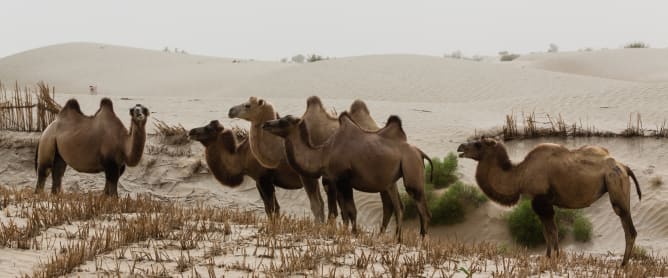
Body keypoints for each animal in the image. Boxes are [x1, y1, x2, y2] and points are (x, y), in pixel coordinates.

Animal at [188, 120, 324, 218]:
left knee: (317, 204)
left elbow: (273, 208)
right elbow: (269, 208)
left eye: (209, 128)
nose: (191, 131)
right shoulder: (258, 180)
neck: (242, 157)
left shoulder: (263, 178)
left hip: (306, 175)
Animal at [260, 112, 434, 240]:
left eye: (284, 121)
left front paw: (354, 234)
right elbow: (344, 212)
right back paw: (395, 239)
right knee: (398, 207)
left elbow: (351, 210)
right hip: (390, 182)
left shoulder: (344, 179)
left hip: (412, 170)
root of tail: (420, 152)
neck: (323, 154)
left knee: (422, 209)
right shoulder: (336, 181)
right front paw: (343, 233)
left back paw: (421, 241)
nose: (266, 124)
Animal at [456, 138, 640, 266]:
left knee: (628, 228)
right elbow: (548, 231)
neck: (520, 175)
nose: (460, 147)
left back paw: (622, 265)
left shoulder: (541, 200)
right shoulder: (542, 203)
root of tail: (624, 167)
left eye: (479, 144)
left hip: (615, 184)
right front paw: (550, 257)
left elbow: (551, 231)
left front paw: (554, 258)